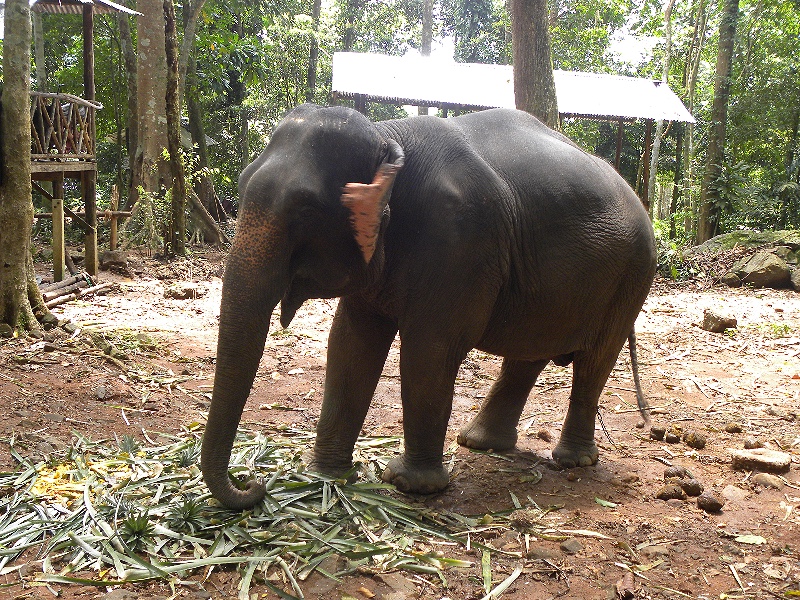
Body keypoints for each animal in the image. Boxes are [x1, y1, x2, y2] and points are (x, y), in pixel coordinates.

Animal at [202, 104, 656, 510]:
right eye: (240, 186)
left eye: (307, 209)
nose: (253, 484)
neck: (388, 138)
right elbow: (350, 343)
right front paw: (325, 475)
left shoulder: (461, 239)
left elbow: (429, 350)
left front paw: (408, 485)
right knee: (530, 353)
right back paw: (479, 443)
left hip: (633, 276)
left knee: (595, 360)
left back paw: (571, 461)